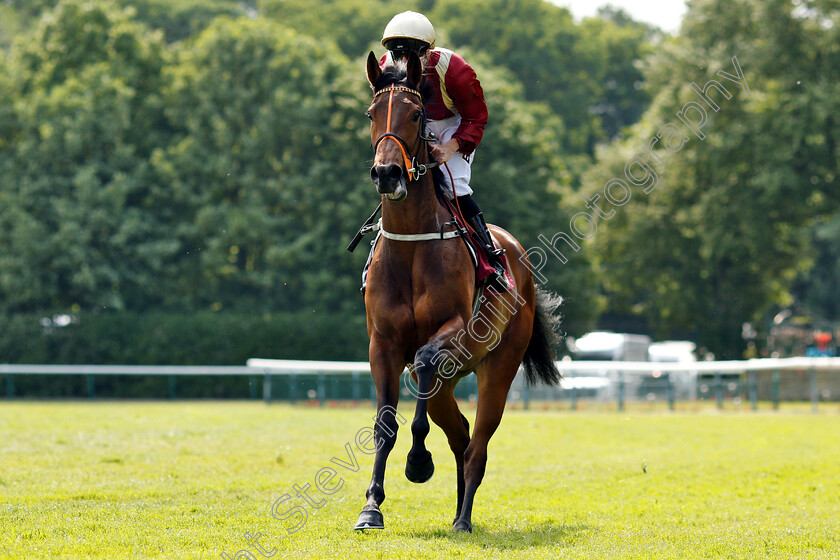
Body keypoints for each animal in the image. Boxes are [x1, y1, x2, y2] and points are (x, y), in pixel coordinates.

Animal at [356, 50, 560, 532]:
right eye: (372, 113)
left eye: (416, 113)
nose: (387, 173)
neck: (412, 245)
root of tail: (518, 255)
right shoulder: (382, 343)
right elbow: (385, 424)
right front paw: (371, 507)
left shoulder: (454, 327)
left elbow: (424, 361)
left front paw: (417, 462)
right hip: (453, 378)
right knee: (460, 433)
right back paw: (454, 510)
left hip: (498, 368)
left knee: (477, 444)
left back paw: (464, 518)